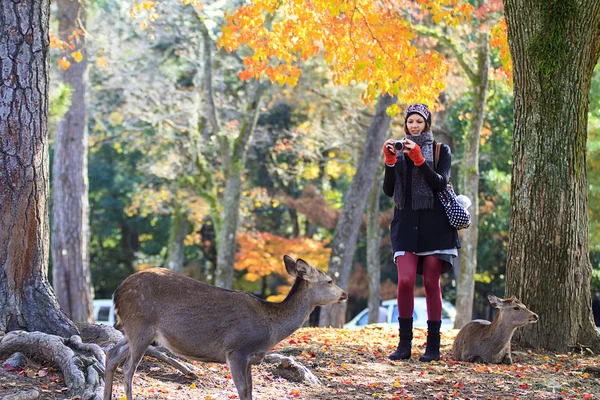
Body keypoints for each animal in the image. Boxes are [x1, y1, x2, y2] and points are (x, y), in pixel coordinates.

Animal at [103, 256, 346, 400]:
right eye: (330, 281)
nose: (345, 294)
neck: (271, 328)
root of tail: (117, 292)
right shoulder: (236, 349)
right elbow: (242, 390)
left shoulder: (249, 358)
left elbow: (250, 391)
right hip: (140, 325)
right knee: (128, 368)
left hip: (134, 331)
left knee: (111, 354)